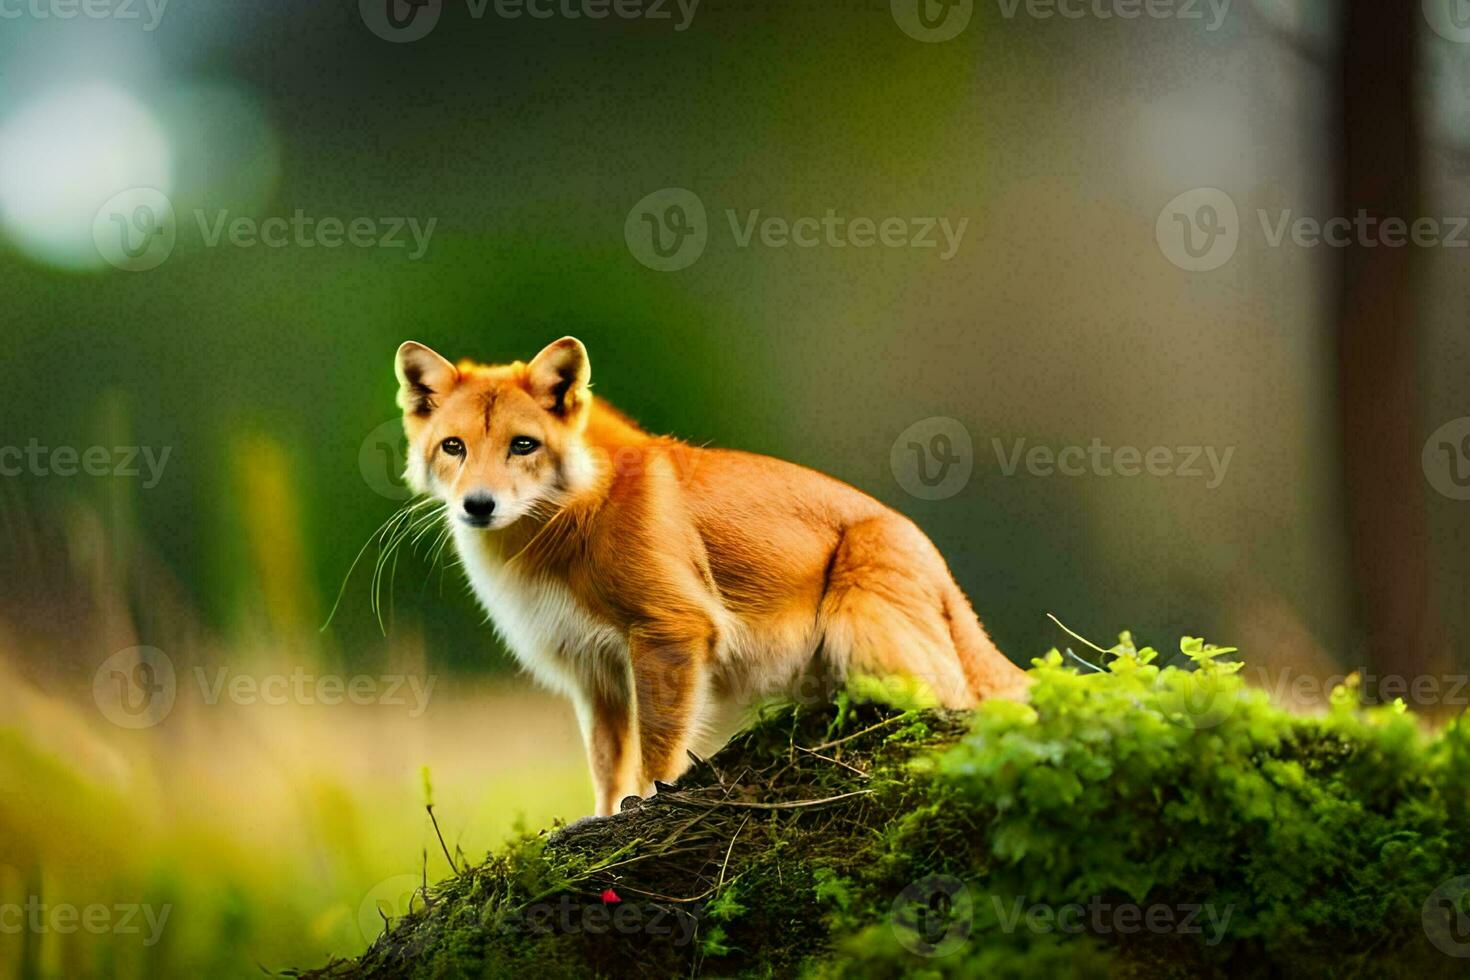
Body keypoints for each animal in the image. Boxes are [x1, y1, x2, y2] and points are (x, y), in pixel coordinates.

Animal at [396, 340, 1029, 816]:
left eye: (522, 444)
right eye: (453, 447)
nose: (478, 506)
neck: (560, 531)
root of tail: (940, 567)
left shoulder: (671, 631)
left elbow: (657, 754)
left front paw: (648, 806)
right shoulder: (592, 672)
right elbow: (606, 769)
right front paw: (599, 821)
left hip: (870, 648)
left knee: (961, 707)